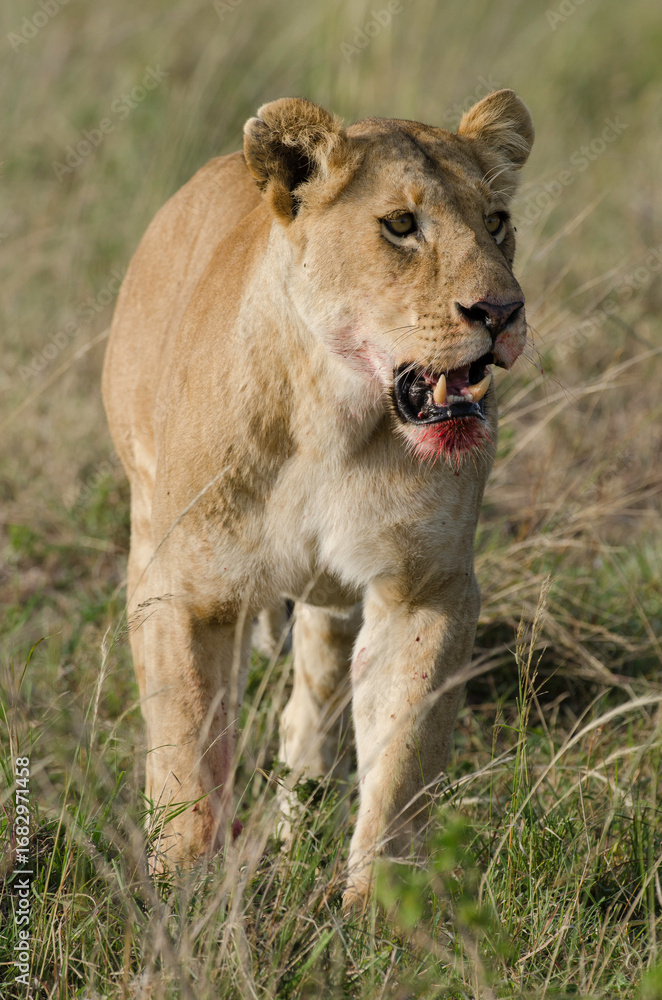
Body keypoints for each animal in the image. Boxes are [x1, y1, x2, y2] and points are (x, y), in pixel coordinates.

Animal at [102, 89, 534, 907]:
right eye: (401, 226)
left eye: (497, 221)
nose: (500, 312)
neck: (335, 419)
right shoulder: (187, 589)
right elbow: (185, 748)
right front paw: (184, 892)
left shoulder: (427, 588)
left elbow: (402, 760)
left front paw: (381, 912)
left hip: (332, 601)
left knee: (310, 709)